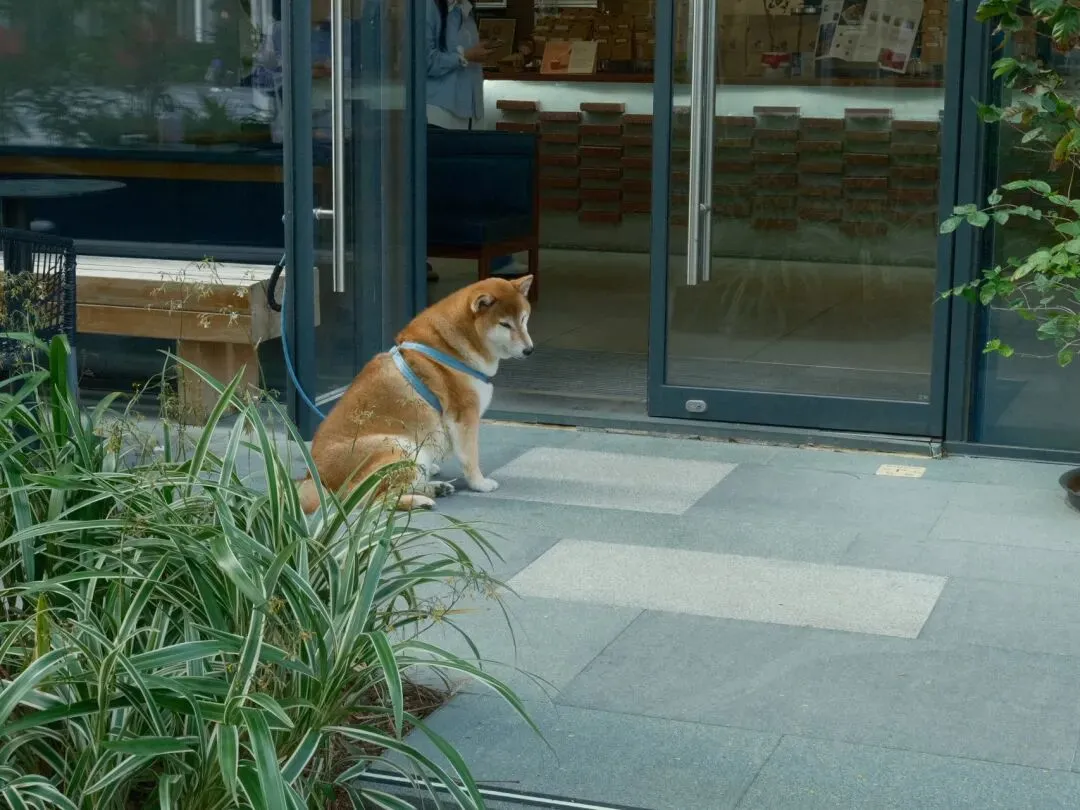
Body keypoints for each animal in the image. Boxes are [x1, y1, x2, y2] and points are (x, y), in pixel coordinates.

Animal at [298, 275, 534, 513]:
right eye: (505, 324)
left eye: (523, 319)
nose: (529, 350)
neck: (451, 349)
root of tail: (318, 479)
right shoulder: (464, 416)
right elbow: (470, 457)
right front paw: (480, 483)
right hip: (400, 447)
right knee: (374, 500)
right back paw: (421, 500)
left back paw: (436, 487)